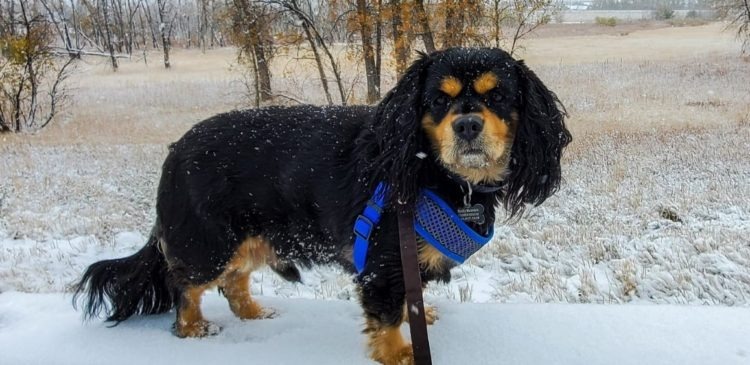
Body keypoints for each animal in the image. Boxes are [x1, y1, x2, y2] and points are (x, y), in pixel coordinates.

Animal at [75, 47, 568, 362]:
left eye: (498, 96)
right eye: (438, 100)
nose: (466, 126)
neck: (434, 172)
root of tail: (175, 151)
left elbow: (410, 299)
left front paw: (420, 314)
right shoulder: (383, 260)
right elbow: (388, 314)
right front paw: (400, 353)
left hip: (249, 238)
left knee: (233, 282)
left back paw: (254, 313)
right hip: (208, 242)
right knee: (185, 285)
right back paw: (192, 328)